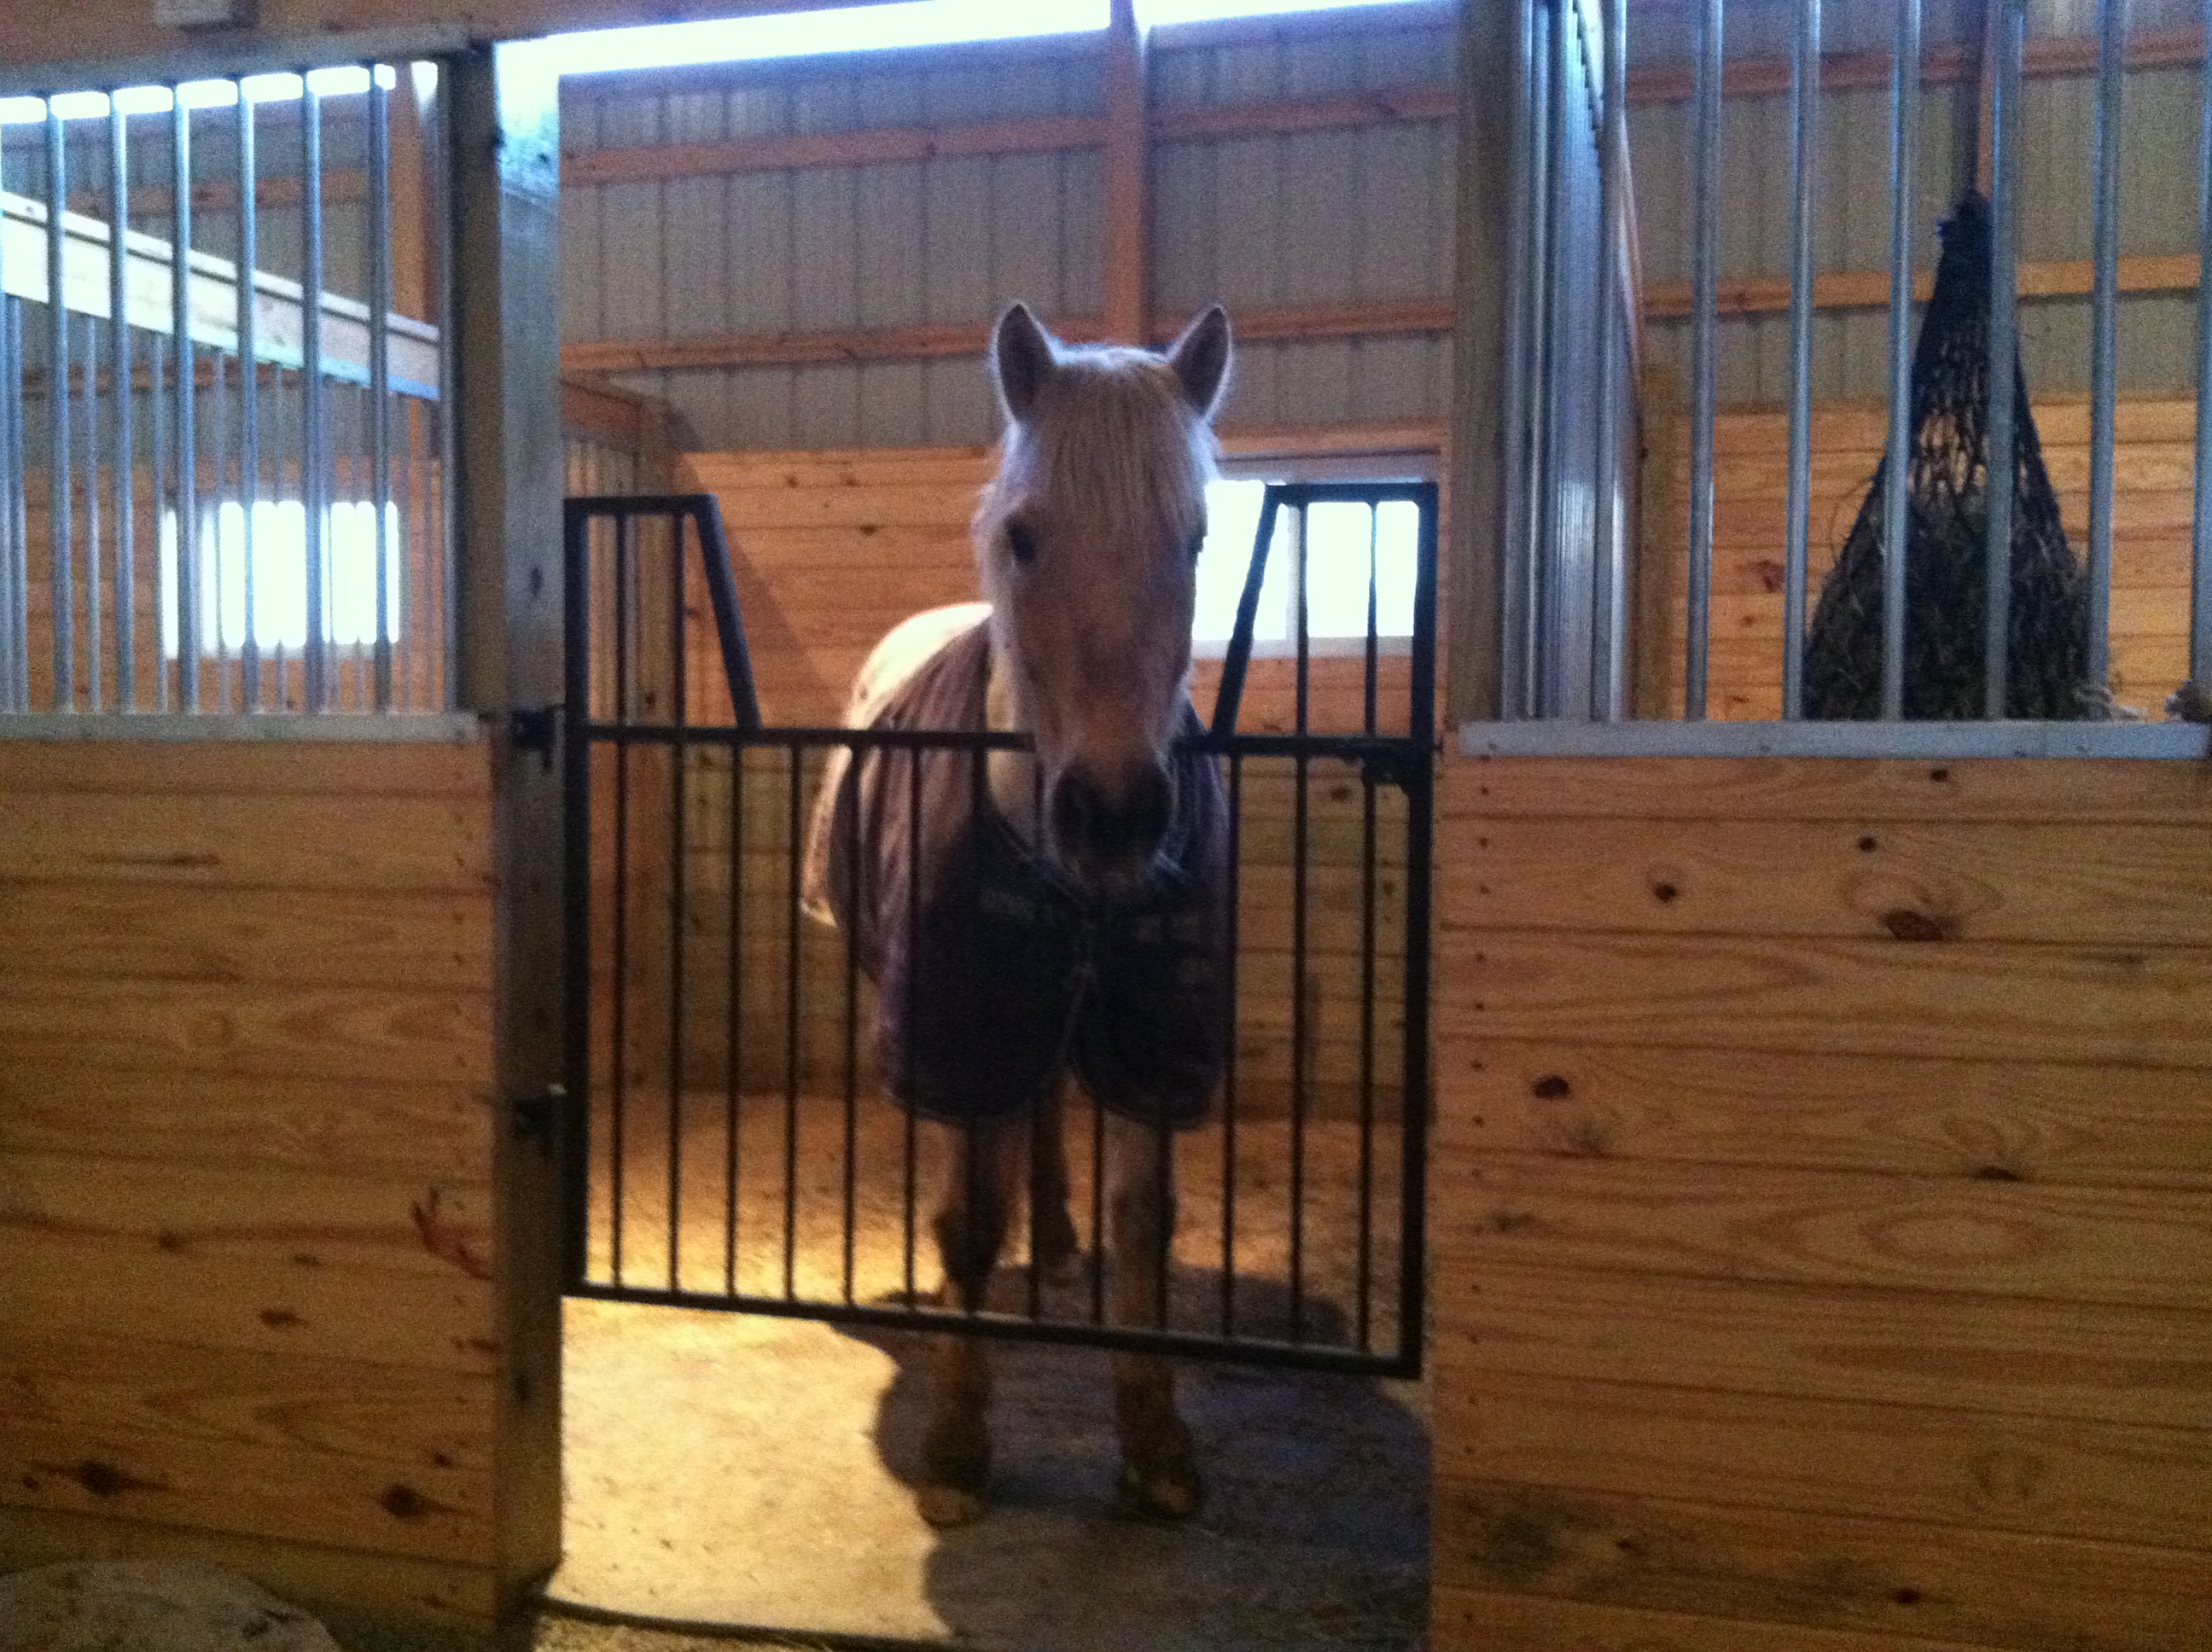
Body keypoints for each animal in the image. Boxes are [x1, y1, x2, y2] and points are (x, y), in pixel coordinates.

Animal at [801, 301, 1234, 1528]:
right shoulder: (957, 1025)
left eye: (1194, 539)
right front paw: (956, 1448)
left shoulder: (1151, 1039)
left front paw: (1157, 1444)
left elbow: (1145, 1220)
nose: (1116, 816)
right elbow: (966, 1218)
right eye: (1027, 538)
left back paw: (1056, 1244)